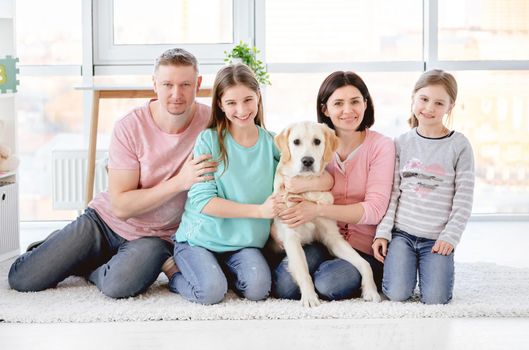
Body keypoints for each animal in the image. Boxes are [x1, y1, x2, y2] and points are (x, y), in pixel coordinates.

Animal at [272, 121, 380, 308]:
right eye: (296, 142)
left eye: (317, 141)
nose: (307, 161)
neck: (306, 189)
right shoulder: (291, 237)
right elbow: (303, 270)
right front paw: (309, 297)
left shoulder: (333, 237)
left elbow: (364, 263)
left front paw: (371, 291)